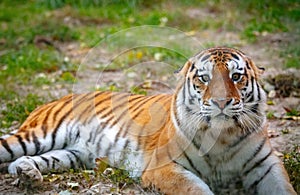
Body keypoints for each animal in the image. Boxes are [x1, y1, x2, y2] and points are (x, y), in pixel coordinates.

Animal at [0, 46, 296, 194]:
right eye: (204, 78)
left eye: (236, 77)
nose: (221, 102)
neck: (222, 137)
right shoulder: (164, 168)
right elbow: (197, 190)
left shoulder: (266, 166)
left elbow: (285, 189)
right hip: (37, 135)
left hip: (71, 154)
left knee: (25, 161)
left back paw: (28, 174)